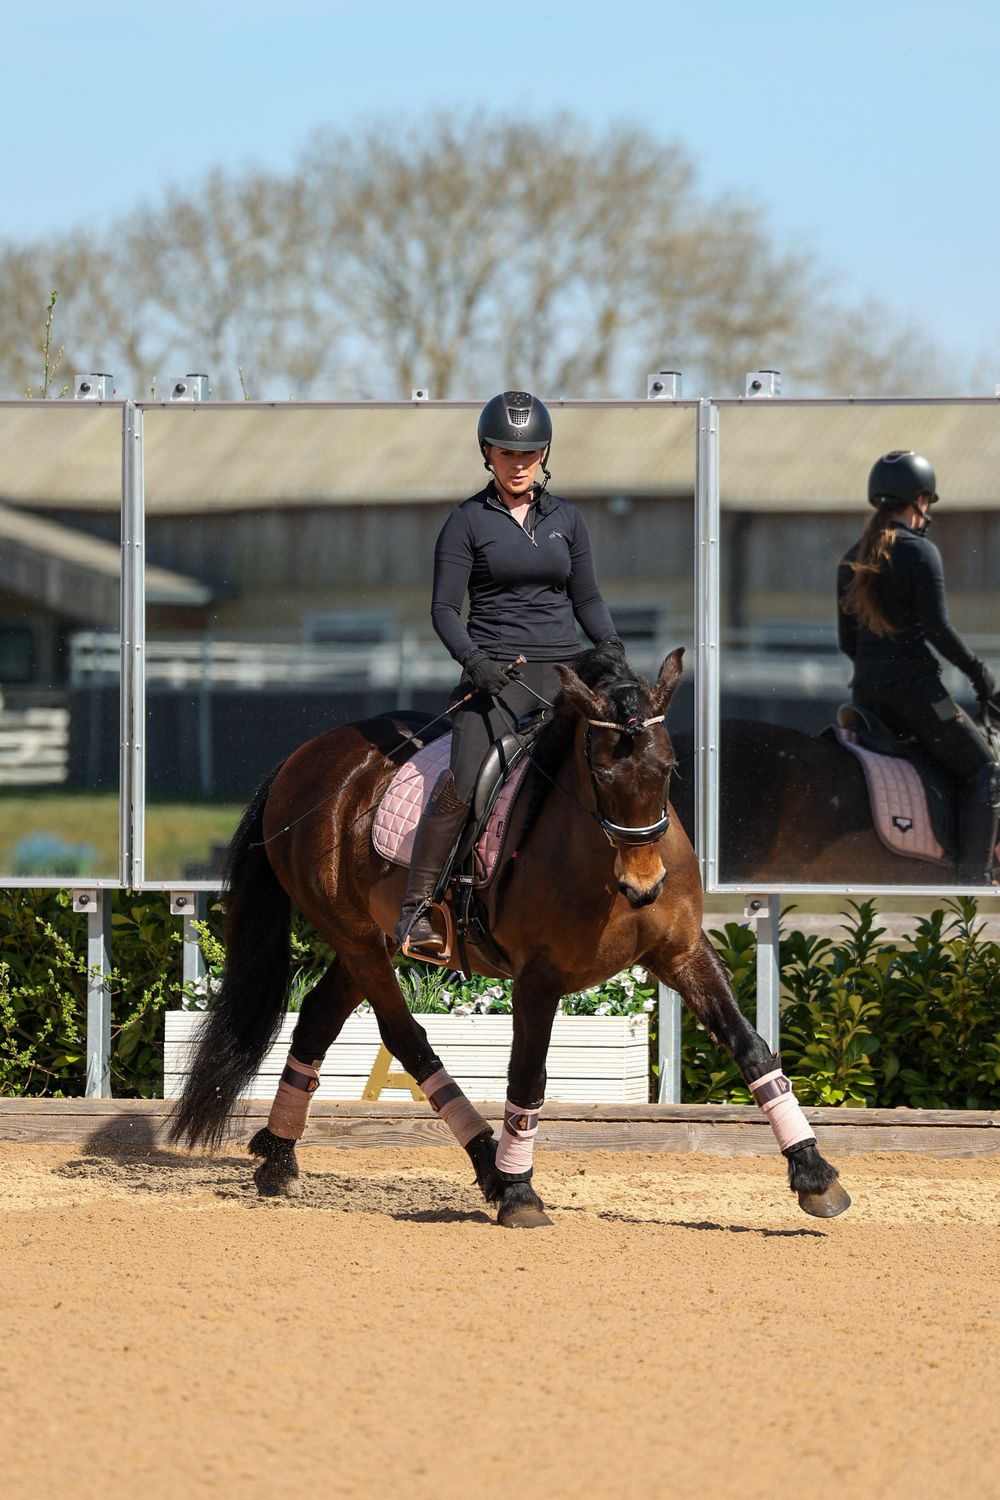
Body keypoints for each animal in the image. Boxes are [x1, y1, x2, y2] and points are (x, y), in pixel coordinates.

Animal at [167, 646, 850, 1227]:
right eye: (601, 772)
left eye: (670, 768)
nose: (643, 886)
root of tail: (304, 757)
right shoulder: (538, 977)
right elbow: (527, 1076)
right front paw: (520, 1192)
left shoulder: (680, 951)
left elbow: (751, 1047)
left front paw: (814, 1174)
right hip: (358, 938)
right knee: (407, 1038)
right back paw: (491, 1172)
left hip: (370, 937)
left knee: (317, 1015)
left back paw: (279, 1156)